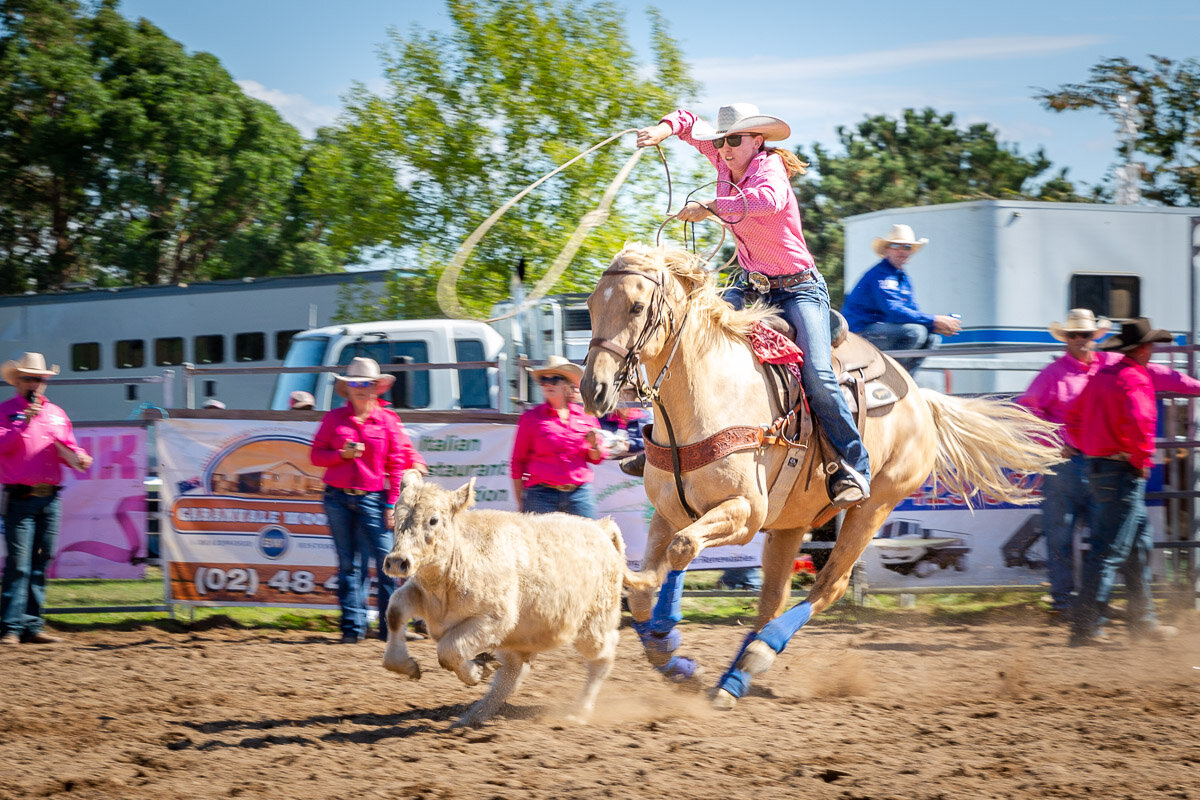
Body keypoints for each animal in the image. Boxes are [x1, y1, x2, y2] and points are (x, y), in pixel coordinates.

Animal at [580, 244, 1060, 705]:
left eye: (636, 307)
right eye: (590, 303)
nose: (593, 390)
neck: (707, 396)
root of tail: (921, 398)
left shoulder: (744, 513)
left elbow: (682, 550)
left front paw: (667, 633)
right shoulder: (669, 513)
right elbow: (645, 584)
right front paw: (672, 660)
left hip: (874, 506)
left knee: (830, 584)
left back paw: (757, 656)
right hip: (791, 522)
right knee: (773, 599)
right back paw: (733, 679)